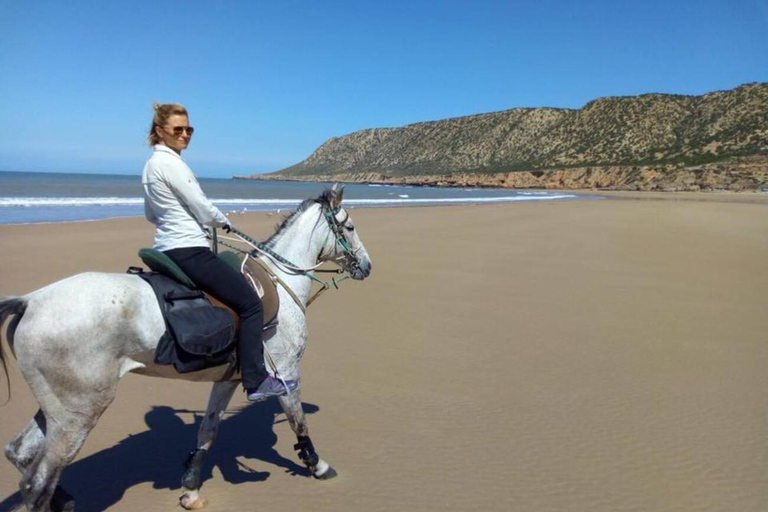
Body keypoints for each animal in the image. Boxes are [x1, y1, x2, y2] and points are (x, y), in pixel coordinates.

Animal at [0, 187, 372, 512]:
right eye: (350, 227)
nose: (367, 266)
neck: (280, 279)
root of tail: (30, 301)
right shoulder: (285, 372)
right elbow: (299, 422)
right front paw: (317, 465)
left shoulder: (228, 380)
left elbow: (208, 430)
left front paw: (191, 489)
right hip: (80, 411)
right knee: (37, 483)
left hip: (61, 407)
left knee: (19, 452)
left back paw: (65, 498)